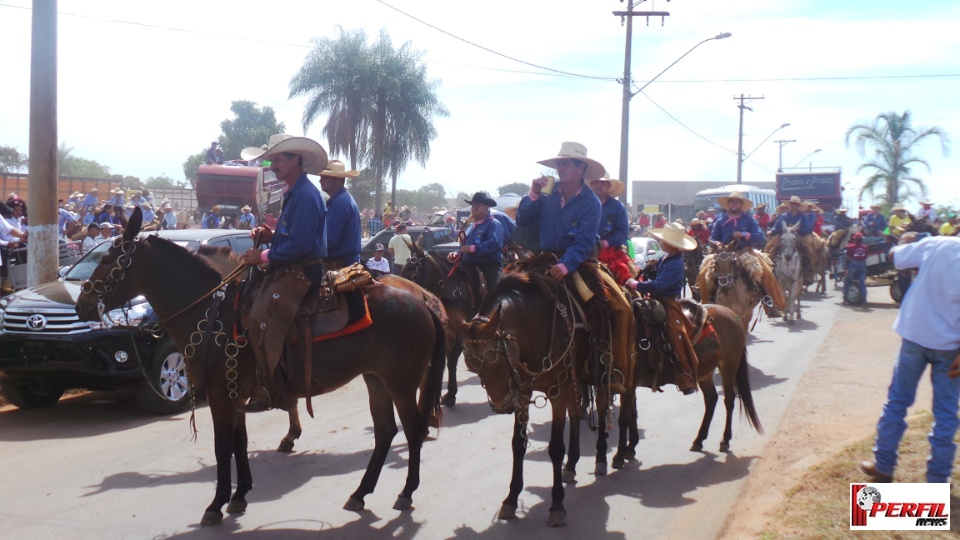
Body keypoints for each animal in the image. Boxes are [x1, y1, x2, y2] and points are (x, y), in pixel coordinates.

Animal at [75, 208, 446, 528]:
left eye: (108, 259)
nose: (81, 304)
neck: (214, 314)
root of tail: (422, 299)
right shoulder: (236, 394)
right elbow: (240, 443)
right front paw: (239, 496)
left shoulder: (221, 395)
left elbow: (222, 446)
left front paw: (216, 504)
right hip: (376, 380)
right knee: (385, 432)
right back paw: (360, 493)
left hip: (401, 383)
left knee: (413, 430)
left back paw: (405, 493)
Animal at [464, 270, 632, 528]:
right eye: (472, 366)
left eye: (495, 359)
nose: (502, 406)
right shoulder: (522, 390)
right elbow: (518, 444)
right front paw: (511, 500)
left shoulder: (557, 391)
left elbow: (555, 447)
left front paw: (557, 505)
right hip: (577, 377)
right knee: (576, 412)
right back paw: (571, 465)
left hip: (602, 370)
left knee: (603, 408)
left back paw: (602, 458)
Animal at [632, 300, 764, 452]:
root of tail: (731, 313)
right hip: (705, 373)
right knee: (711, 398)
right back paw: (699, 439)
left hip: (728, 366)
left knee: (729, 399)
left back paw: (725, 439)